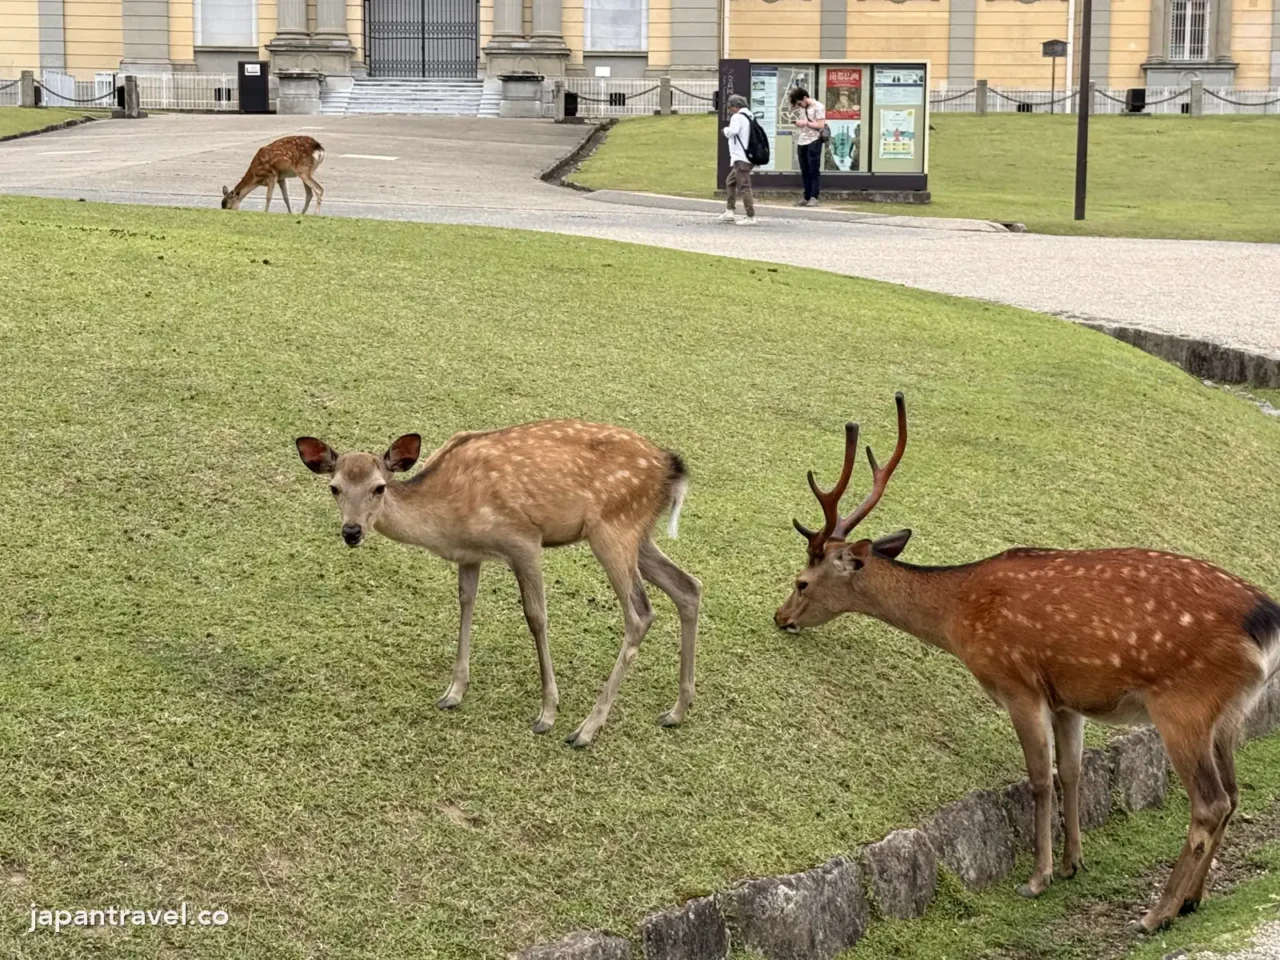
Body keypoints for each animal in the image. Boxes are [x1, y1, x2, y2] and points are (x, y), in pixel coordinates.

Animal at [295, 420, 701, 748]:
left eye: (379, 487)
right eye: (334, 487)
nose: (351, 531)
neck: (447, 514)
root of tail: (672, 467)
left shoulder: (523, 540)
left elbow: (536, 617)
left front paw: (548, 713)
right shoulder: (469, 555)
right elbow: (466, 602)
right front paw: (453, 692)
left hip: (612, 528)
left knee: (640, 613)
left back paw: (586, 730)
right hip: (638, 534)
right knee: (689, 586)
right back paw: (676, 711)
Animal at [774, 393, 1280, 933]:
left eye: (801, 581)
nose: (780, 616)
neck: (958, 615)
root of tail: (1266, 622)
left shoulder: (1017, 683)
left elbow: (1039, 778)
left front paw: (1038, 879)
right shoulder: (1067, 699)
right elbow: (1072, 772)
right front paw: (1073, 862)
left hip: (1184, 705)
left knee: (1210, 802)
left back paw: (1155, 913)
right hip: (1229, 714)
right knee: (1233, 793)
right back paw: (1192, 899)